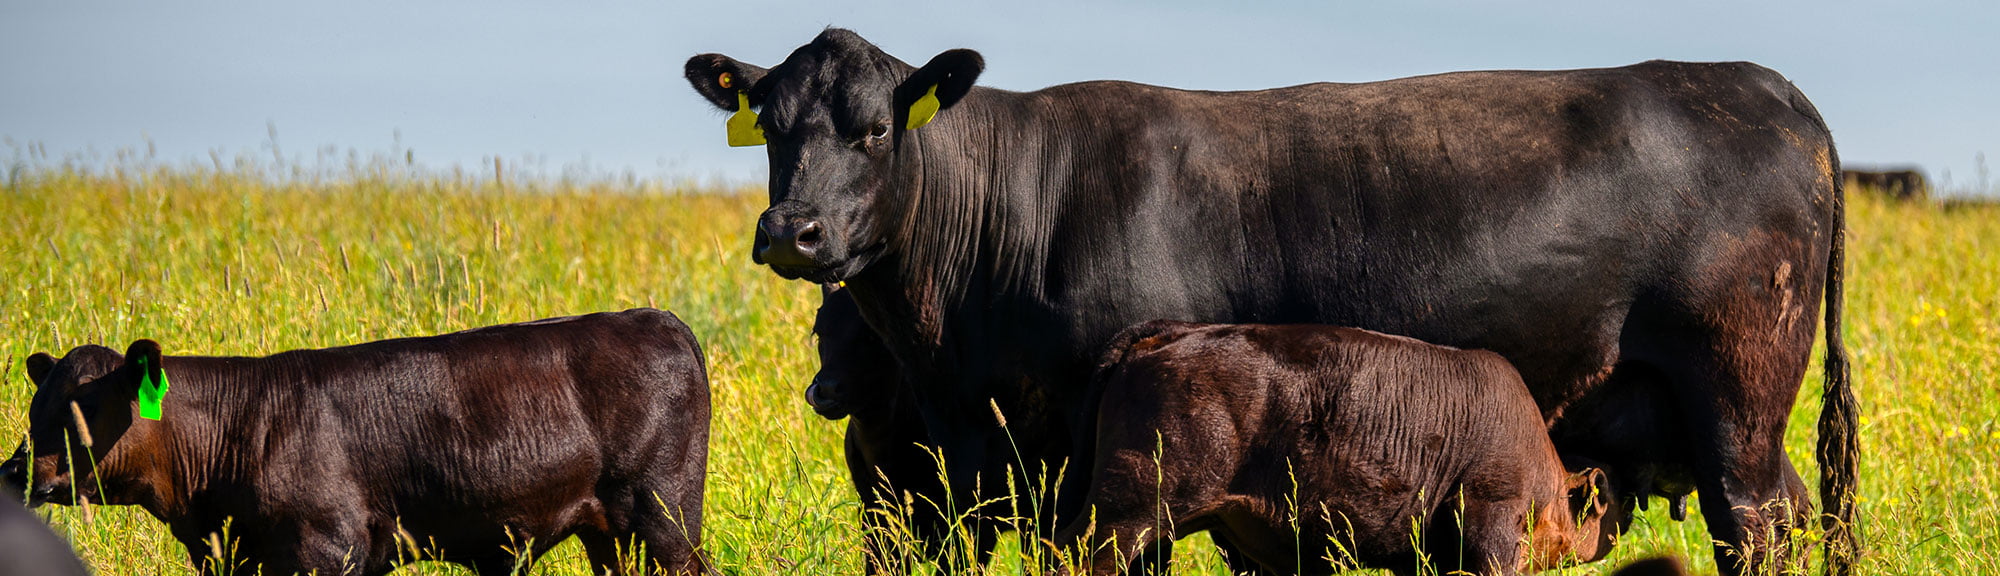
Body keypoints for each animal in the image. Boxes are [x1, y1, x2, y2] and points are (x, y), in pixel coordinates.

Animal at [0, 309, 710, 576]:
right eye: (35, 409)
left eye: (86, 408)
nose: (17, 472)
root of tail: (655, 317)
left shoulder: (328, 548)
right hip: (611, 535)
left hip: (665, 519)